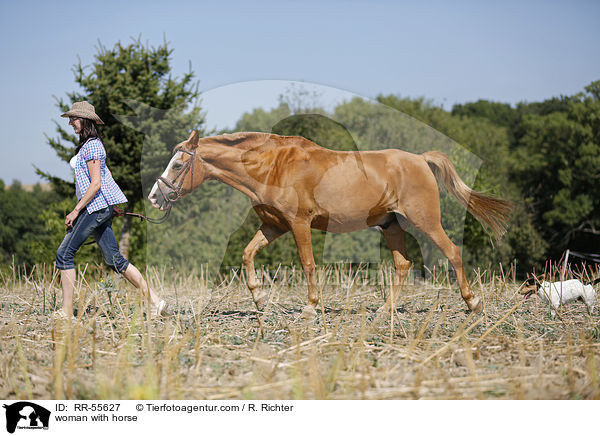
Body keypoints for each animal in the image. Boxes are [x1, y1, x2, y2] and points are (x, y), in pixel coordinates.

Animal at [150, 130, 510, 316]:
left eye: (178, 164)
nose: (155, 197)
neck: (273, 166)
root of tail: (420, 159)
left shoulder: (298, 224)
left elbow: (308, 264)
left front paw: (310, 308)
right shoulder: (274, 226)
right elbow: (248, 254)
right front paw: (260, 300)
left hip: (426, 221)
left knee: (452, 253)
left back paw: (473, 303)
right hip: (391, 225)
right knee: (403, 265)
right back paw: (385, 310)